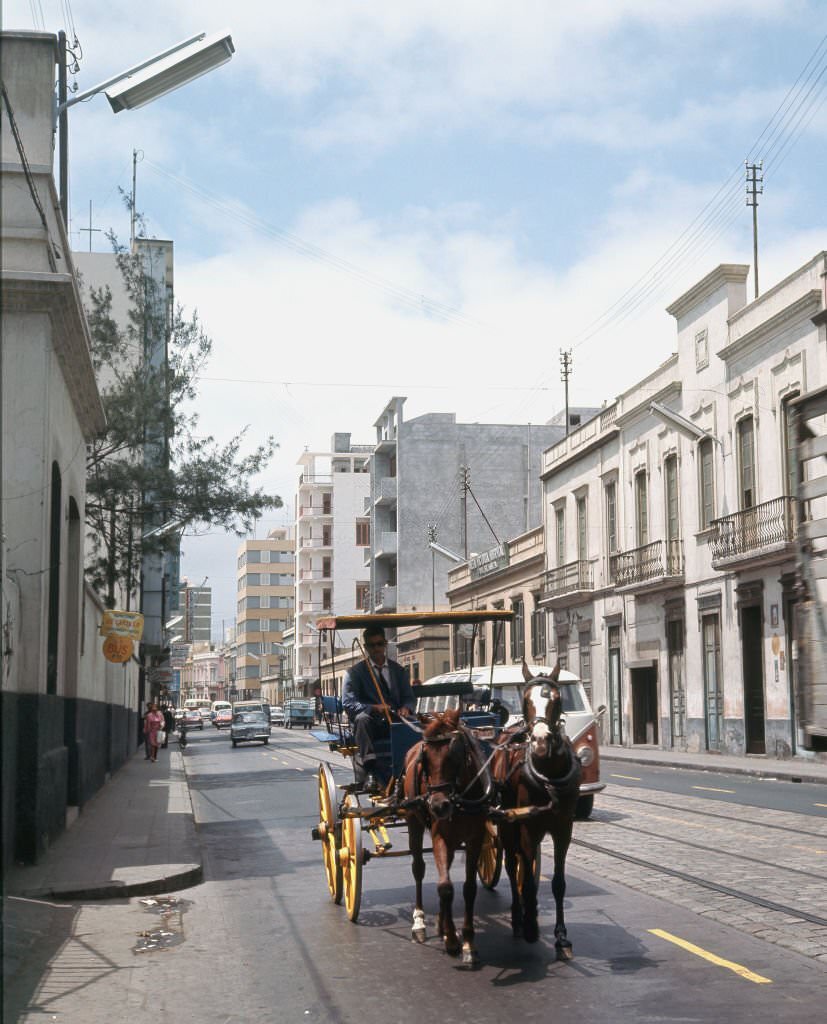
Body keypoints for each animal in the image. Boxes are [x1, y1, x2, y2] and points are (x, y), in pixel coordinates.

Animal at [399, 712, 491, 966]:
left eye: (456, 753)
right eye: (426, 758)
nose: (439, 806)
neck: (459, 799)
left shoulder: (475, 839)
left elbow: (469, 888)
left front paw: (468, 942)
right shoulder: (439, 836)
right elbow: (445, 887)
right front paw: (451, 939)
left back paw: (440, 923)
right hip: (414, 821)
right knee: (418, 868)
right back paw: (420, 921)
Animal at [491, 663, 581, 958]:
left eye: (558, 699)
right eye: (525, 700)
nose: (541, 741)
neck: (548, 774)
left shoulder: (563, 828)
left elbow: (558, 883)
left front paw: (562, 937)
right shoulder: (528, 828)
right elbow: (528, 878)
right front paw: (531, 925)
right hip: (507, 823)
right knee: (511, 864)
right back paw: (518, 917)